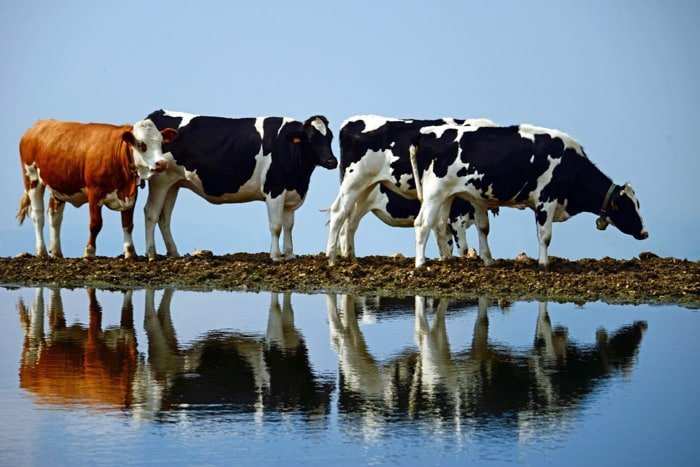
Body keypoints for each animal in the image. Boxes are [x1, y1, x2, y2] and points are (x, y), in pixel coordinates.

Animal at [17, 119, 178, 260]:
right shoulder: (94, 193)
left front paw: (130, 252)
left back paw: (56, 252)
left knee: (55, 216)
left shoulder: (130, 196)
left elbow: (127, 224)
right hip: (32, 177)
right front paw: (89, 252)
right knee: (38, 216)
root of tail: (40, 123)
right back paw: (42, 251)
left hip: (58, 185)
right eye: (141, 144)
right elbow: (95, 224)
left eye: (161, 143)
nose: (162, 163)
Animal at [144, 111, 336, 262]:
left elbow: (289, 226)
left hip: (173, 184)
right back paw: (151, 255)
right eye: (311, 138)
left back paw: (173, 253)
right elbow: (276, 226)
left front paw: (290, 255)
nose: (332, 161)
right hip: (159, 180)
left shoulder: (291, 194)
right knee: (151, 213)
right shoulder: (274, 190)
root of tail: (157, 114)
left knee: (164, 217)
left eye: (330, 137)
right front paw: (275, 256)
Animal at [326, 115, 494, 266]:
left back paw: (351, 258)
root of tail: (350, 122)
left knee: (349, 222)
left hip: (362, 191)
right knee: (339, 214)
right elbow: (463, 246)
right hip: (354, 184)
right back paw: (333, 259)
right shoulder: (457, 217)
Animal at [412, 122, 648, 268]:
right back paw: (420, 263)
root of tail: (424, 133)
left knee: (439, 224)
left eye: (638, 204)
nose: (645, 232)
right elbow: (545, 235)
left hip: (446, 195)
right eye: (628, 207)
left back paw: (447, 260)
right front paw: (544, 264)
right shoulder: (546, 199)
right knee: (422, 224)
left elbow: (484, 228)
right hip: (434, 192)